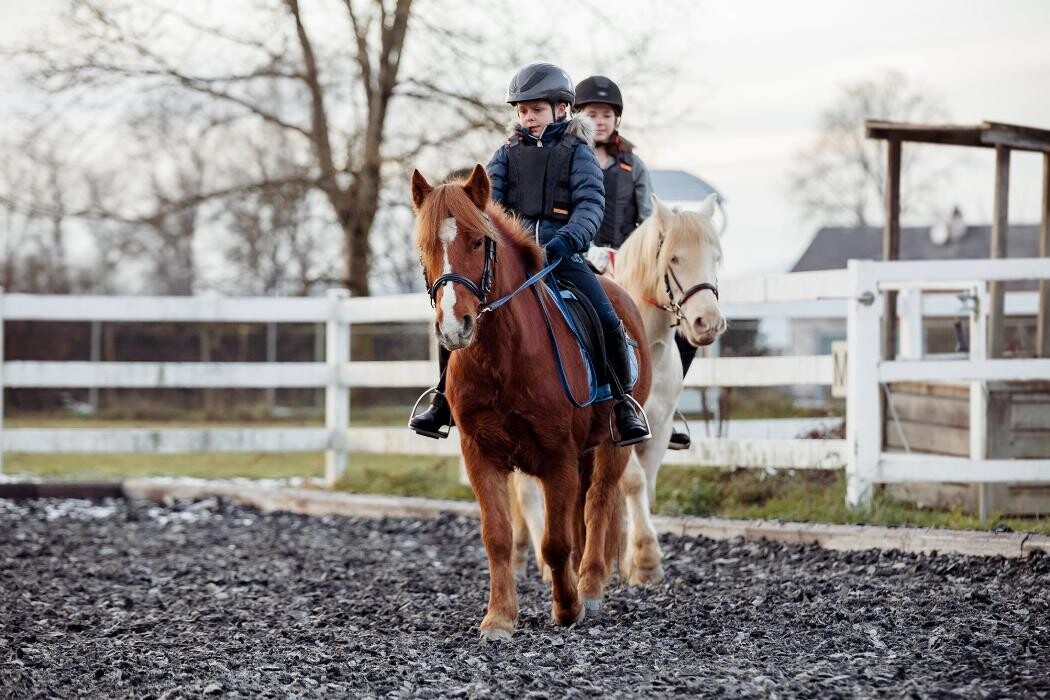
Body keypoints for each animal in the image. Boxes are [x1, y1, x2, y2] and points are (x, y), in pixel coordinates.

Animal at [407, 164, 646, 642]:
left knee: (598, 503)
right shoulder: (481, 454)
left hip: (613, 446)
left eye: (477, 241)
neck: (503, 357)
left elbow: (555, 542)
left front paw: (568, 607)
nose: (455, 327)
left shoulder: (558, 456)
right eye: (425, 247)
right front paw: (499, 618)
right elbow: (498, 537)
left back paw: (589, 589)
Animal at [512, 193, 726, 587]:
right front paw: (645, 558)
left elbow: (645, 485)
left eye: (715, 257)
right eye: (674, 258)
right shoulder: (618, 426)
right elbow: (632, 482)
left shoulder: (658, 427)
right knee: (527, 491)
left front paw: (629, 558)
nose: (708, 323)